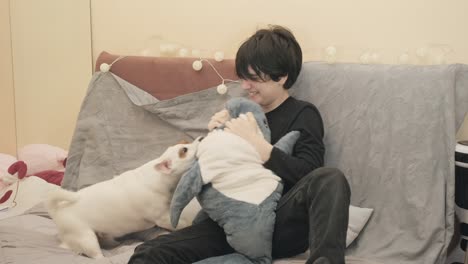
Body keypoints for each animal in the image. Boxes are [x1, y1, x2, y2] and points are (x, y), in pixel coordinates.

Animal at [45, 138, 203, 258]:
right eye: (184, 150)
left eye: (186, 143)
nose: (201, 138)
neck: (159, 176)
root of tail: (57, 211)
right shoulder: (163, 218)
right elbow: (181, 224)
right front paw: (189, 224)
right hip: (86, 238)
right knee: (96, 255)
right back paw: (104, 259)